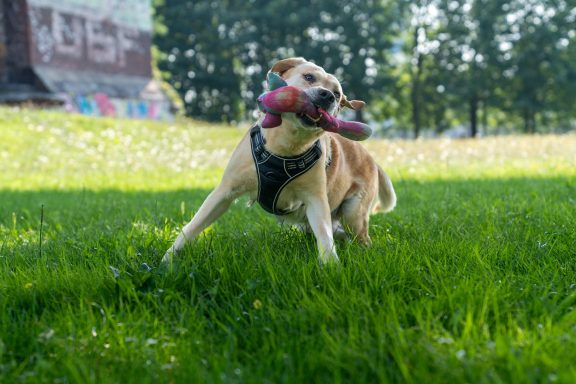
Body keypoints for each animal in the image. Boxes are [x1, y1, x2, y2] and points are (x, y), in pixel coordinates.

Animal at [163, 57, 396, 264]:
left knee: (358, 237)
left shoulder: (316, 199)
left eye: (337, 94)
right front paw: (168, 261)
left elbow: (324, 236)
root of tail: (373, 160)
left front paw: (331, 266)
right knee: (338, 232)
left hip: (353, 214)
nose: (327, 95)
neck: (286, 147)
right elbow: (192, 226)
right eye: (309, 77)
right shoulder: (224, 192)